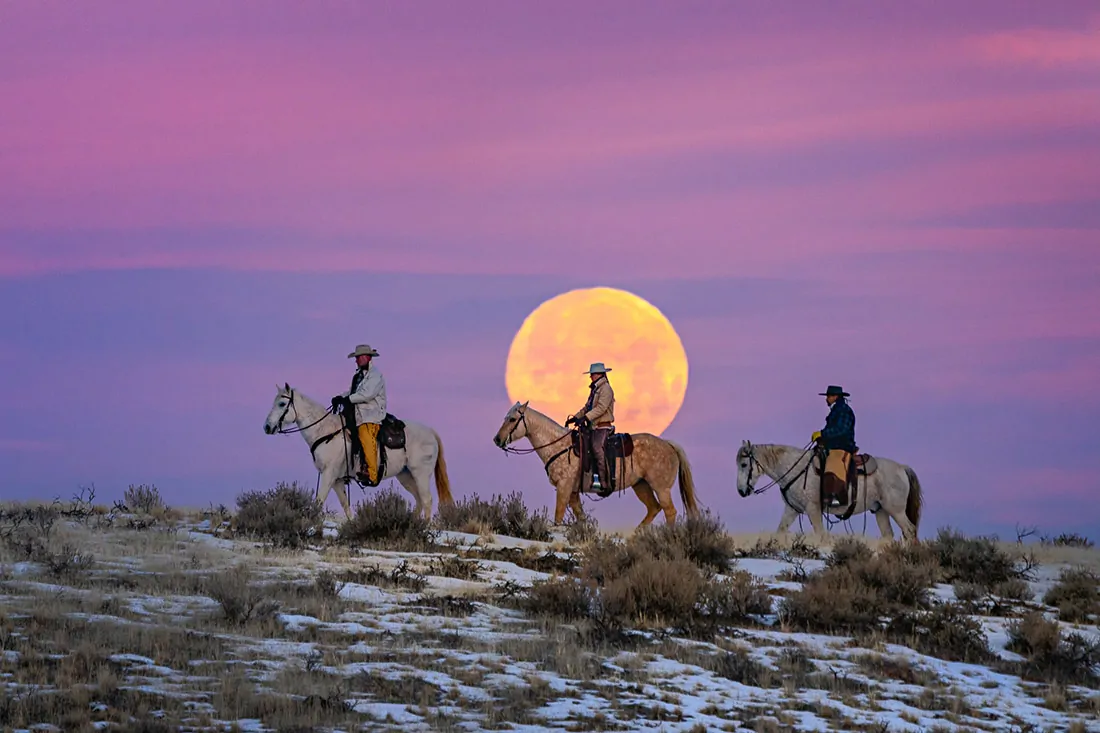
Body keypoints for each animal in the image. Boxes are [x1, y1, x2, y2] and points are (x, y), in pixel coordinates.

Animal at [264, 383, 453, 519]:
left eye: (282, 403)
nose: (267, 427)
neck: (325, 431)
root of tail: (431, 432)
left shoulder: (328, 474)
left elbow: (318, 501)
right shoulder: (337, 480)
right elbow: (346, 506)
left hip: (420, 474)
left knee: (427, 500)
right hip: (405, 475)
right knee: (419, 500)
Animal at [495, 400, 699, 526]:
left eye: (512, 419)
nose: (497, 439)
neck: (559, 446)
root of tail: (668, 444)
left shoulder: (564, 487)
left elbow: (558, 516)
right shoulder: (573, 492)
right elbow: (581, 518)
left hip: (661, 488)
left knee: (669, 511)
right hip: (641, 485)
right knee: (654, 509)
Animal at [734, 435, 924, 539]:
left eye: (744, 464)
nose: (741, 491)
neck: (796, 468)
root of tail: (902, 468)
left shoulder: (813, 509)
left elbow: (821, 534)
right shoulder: (792, 509)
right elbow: (780, 531)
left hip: (896, 510)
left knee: (909, 530)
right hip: (880, 510)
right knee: (888, 535)